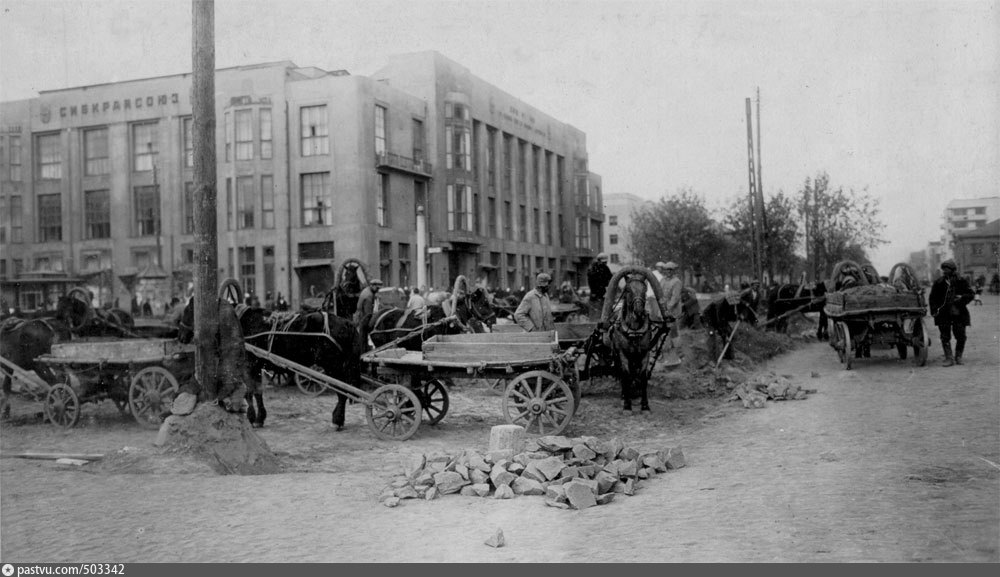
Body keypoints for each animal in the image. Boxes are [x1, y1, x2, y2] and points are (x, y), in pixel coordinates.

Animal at [596, 268, 668, 412]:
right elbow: (626, 375)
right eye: (628, 290)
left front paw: (645, 405)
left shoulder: (644, 352)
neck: (634, 330)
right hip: (616, 354)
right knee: (621, 373)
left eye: (645, 289)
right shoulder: (622, 353)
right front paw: (627, 404)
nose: (639, 311)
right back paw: (625, 394)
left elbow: (643, 376)